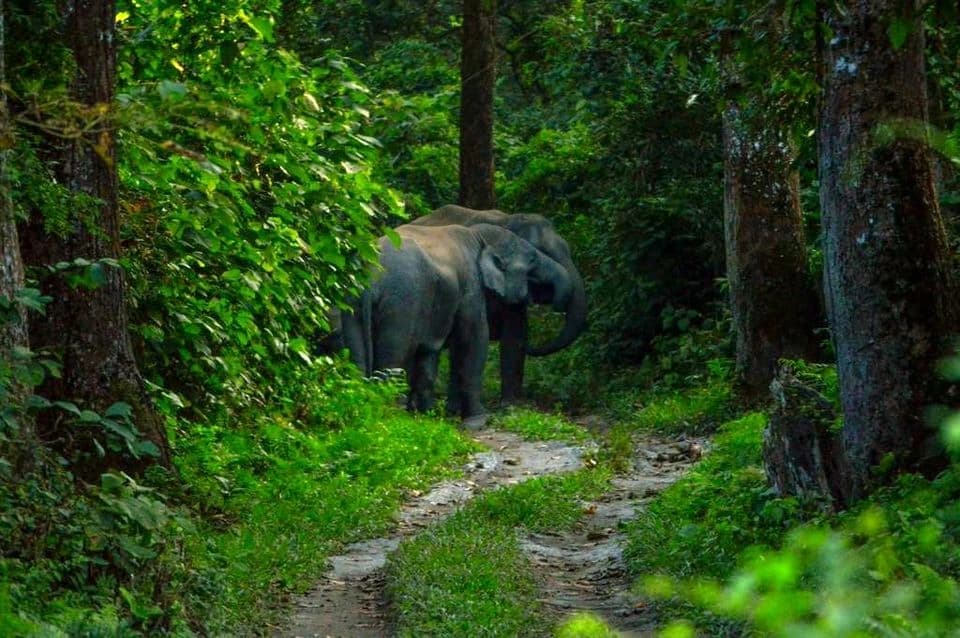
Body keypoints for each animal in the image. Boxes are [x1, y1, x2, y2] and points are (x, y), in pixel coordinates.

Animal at [341, 223, 573, 419]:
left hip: (352, 301)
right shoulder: (471, 283)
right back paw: (388, 414)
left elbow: (430, 352)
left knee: (357, 357)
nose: (556, 306)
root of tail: (371, 277)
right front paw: (478, 420)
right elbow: (475, 337)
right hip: (401, 302)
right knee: (393, 357)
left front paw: (429, 415)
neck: (479, 236)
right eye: (533, 260)